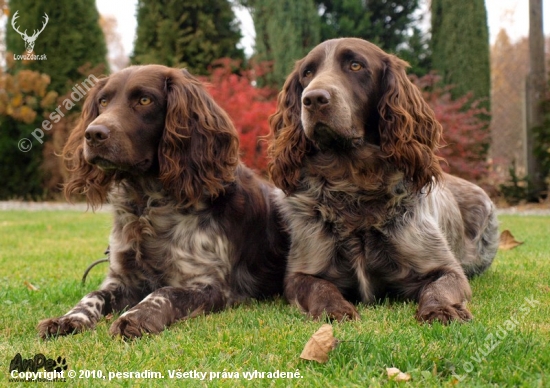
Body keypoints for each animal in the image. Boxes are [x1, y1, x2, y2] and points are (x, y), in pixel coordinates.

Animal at [37, 65, 288, 338]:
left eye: (145, 100)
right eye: (103, 101)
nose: (93, 134)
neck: (147, 202)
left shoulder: (211, 285)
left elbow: (165, 292)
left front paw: (136, 317)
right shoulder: (123, 279)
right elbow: (93, 294)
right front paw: (69, 318)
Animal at [270, 38, 502, 324]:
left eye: (355, 65)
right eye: (308, 73)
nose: (312, 99)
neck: (353, 183)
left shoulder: (446, 268)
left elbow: (439, 287)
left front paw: (440, 309)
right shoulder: (300, 273)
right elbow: (318, 287)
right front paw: (333, 309)